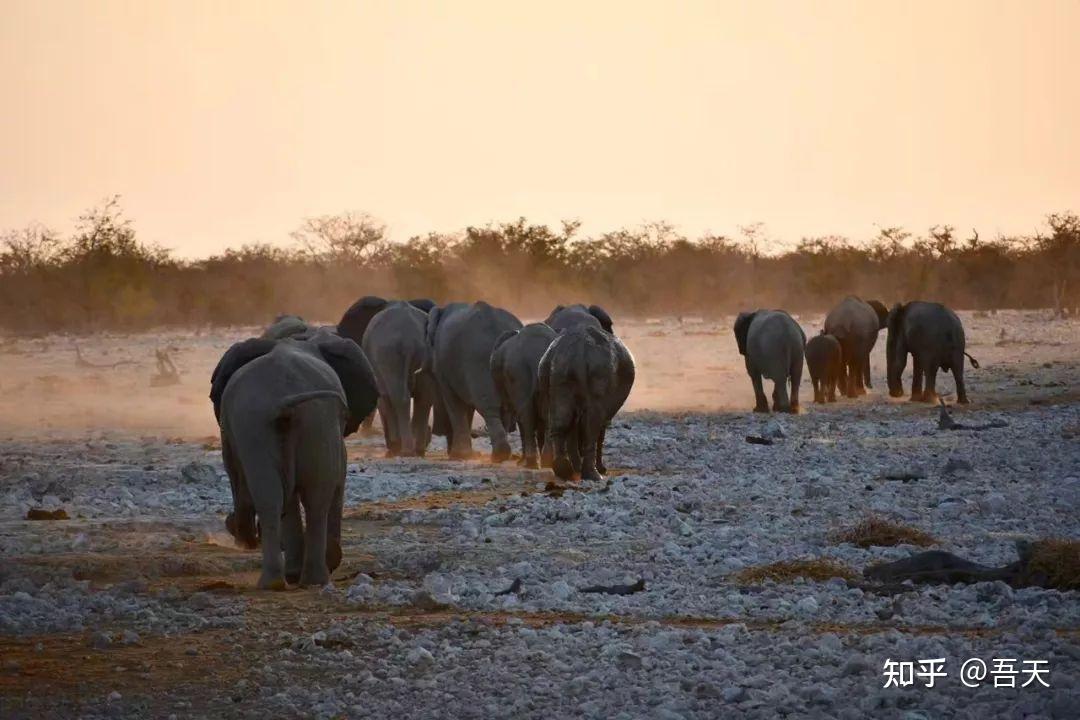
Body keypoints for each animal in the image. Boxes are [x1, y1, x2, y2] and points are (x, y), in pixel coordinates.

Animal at [212, 334, 378, 587]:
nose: (232, 525)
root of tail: (284, 399)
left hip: (264, 423)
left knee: (274, 496)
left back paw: (279, 582)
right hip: (307, 421)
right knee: (313, 497)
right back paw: (310, 579)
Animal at [362, 302, 438, 459]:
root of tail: (409, 339)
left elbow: (385, 399)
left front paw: (393, 447)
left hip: (389, 355)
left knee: (400, 397)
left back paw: (406, 450)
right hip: (426, 354)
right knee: (425, 397)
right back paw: (417, 449)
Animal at [423, 300, 520, 462]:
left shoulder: (445, 367)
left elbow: (454, 402)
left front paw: (460, 455)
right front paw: (467, 455)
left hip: (477, 361)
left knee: (488, 406)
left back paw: (499, 455)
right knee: (504, 408)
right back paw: (502, 454)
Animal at [490, 323, 557, 470]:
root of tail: (534, 352)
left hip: (517, 371)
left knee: (526, 415)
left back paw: (531, 463)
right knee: (547, 414)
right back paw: (546, 461)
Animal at [537, 323, 630, 481]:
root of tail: (576, 352)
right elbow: (598, 431)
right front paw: (601, 469)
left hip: (551, 374)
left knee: (560, 421)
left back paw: (563, 469)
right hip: (598, 375)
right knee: (590, 426)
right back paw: (594, 475)